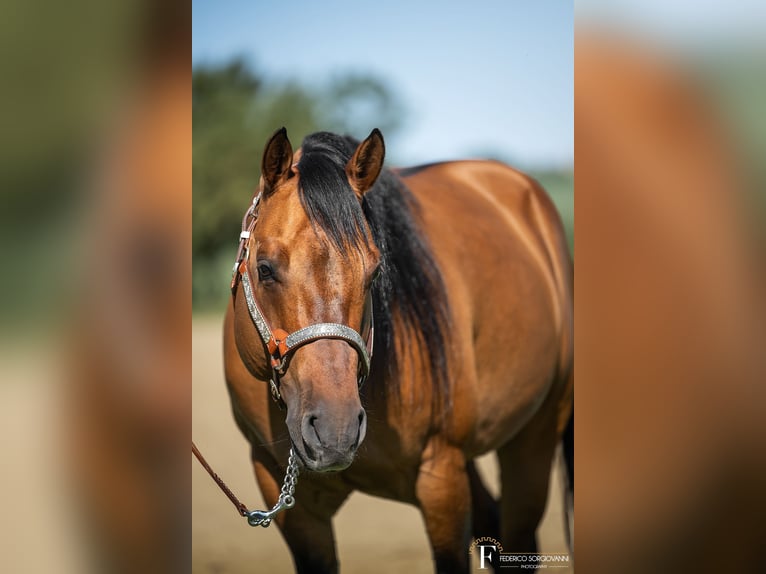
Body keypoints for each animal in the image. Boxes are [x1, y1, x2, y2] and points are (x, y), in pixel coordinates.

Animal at [222, 128, 576, 572]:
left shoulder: (441, 478)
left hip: (536, 436)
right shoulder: (286, 498)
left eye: (374, 272)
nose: (335, 431)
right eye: (265, 268)